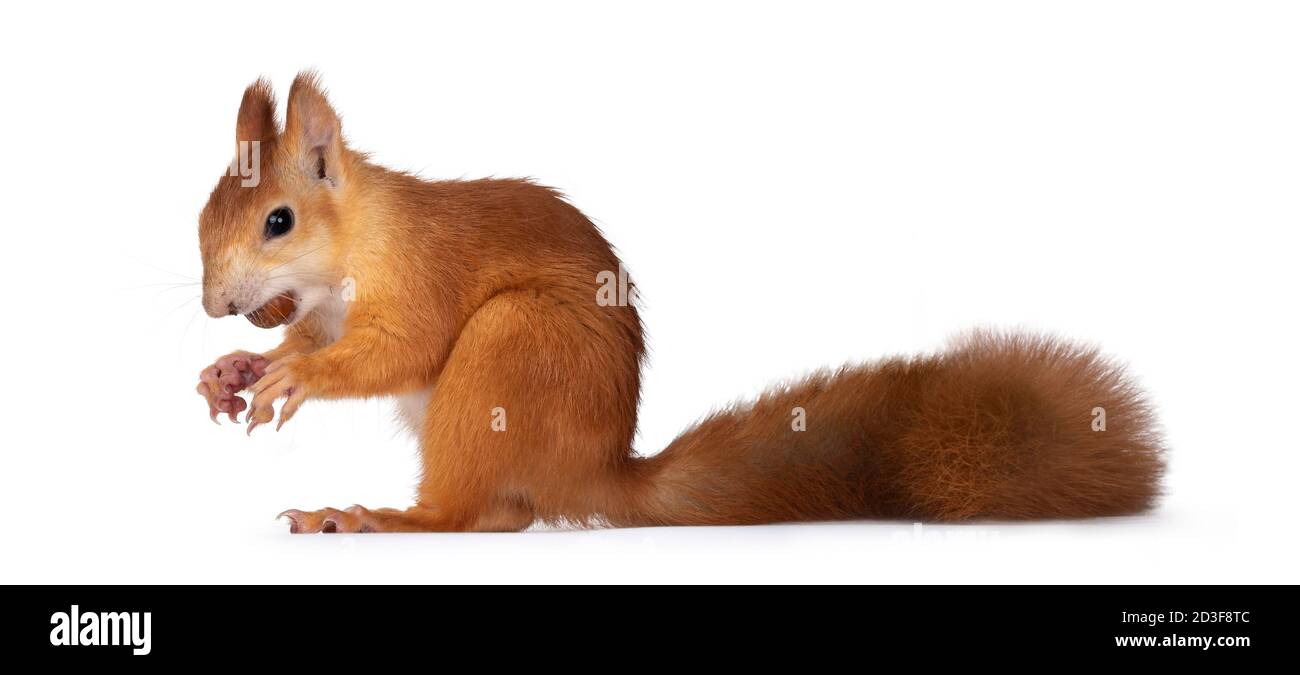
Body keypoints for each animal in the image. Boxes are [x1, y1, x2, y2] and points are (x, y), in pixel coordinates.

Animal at [192, 71, 1170, 530]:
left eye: (278, 220)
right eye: (205, 212)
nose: (213, 306)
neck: (348, 258)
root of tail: (595, 467)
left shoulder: (422, 279)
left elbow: (396, 350)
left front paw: (296, 380)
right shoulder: (316, 312)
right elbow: (303, 342)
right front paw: (236, 368)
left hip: (510, 349)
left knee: (468, 513)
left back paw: (375, 517)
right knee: (508, 512)